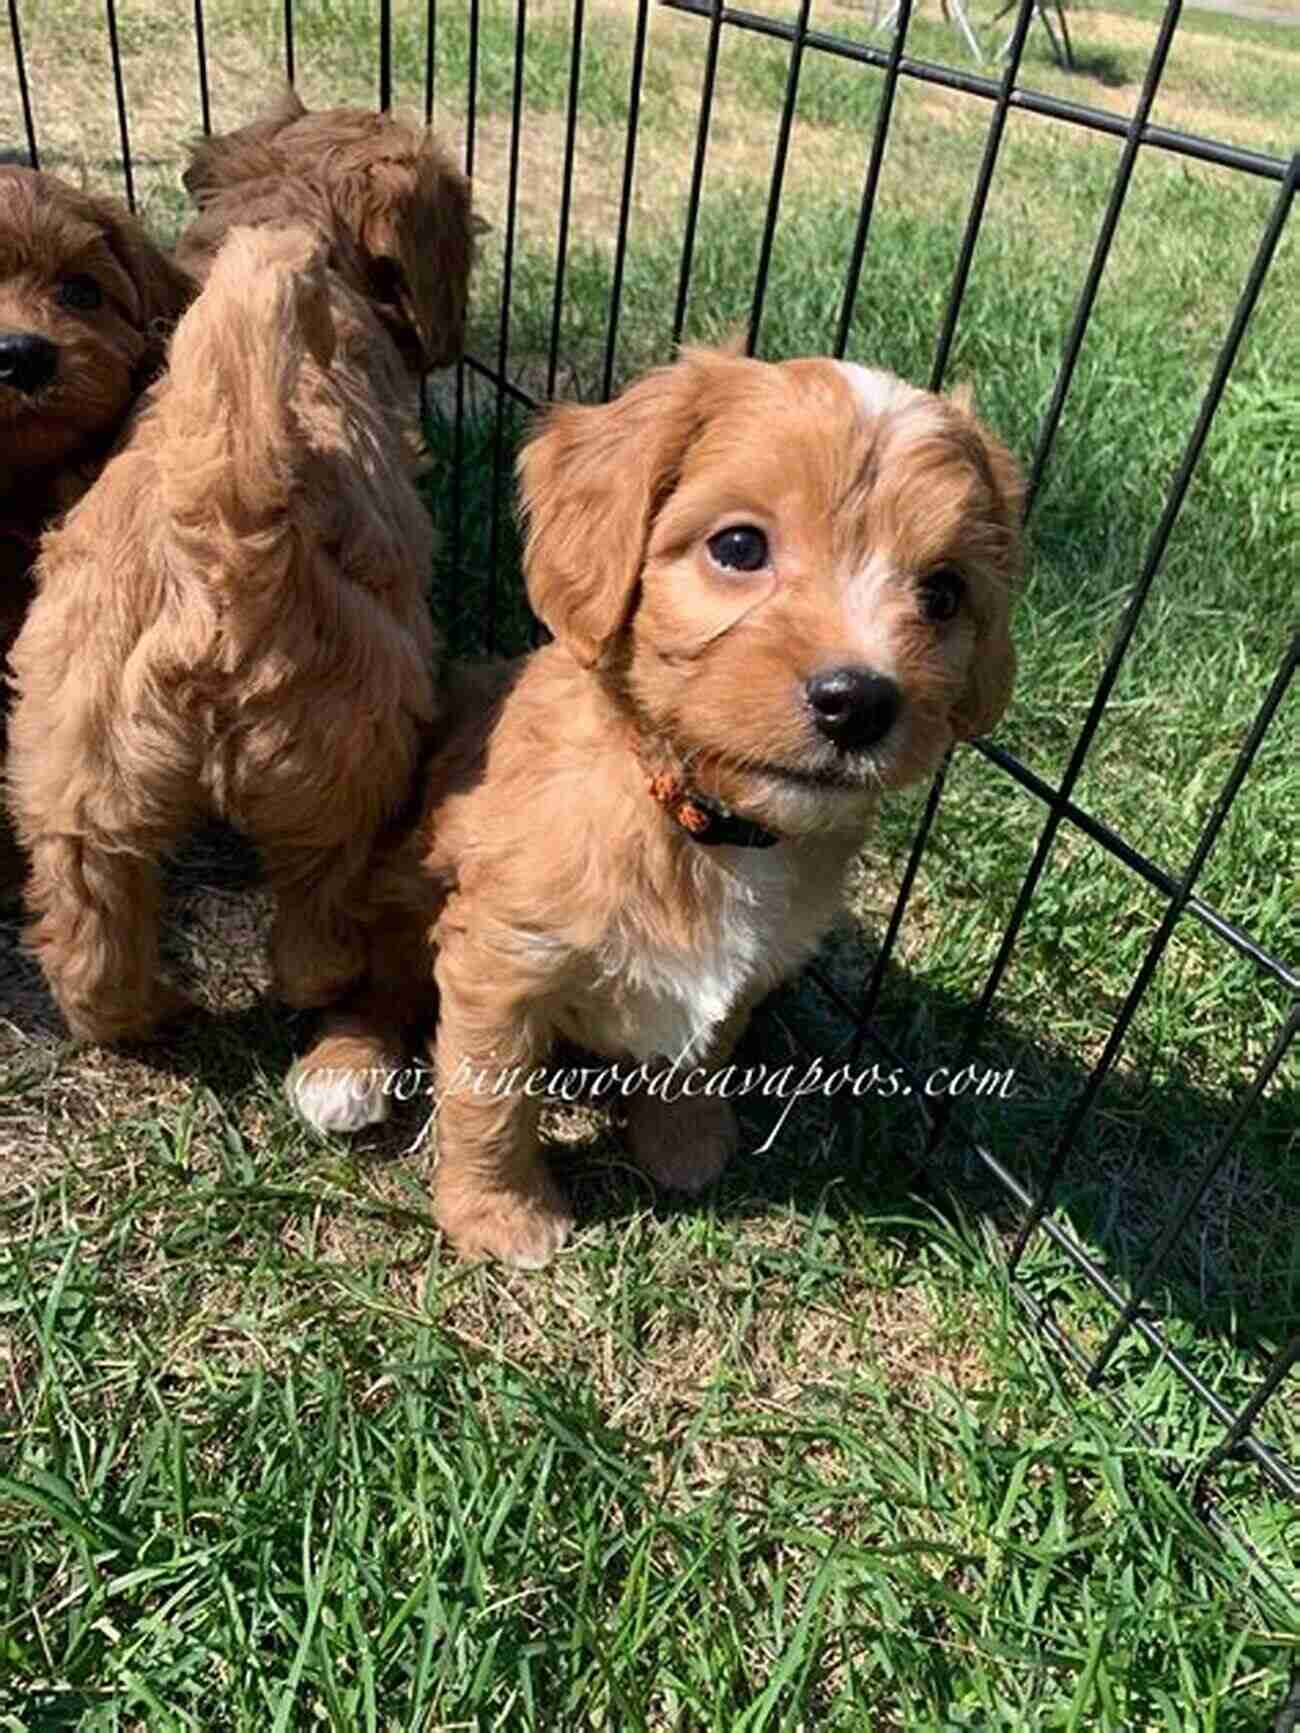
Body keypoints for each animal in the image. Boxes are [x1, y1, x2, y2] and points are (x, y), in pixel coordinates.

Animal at [287, 348, 1026, 1275]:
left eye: (944, 593)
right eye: (739, 546)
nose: (858, 701)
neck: (704, 824)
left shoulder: (754, 963)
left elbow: (704, 1048)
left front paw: (682, 1141)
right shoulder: (502, 957)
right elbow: (490, 1098)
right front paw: (499, 1213)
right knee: (374, 981)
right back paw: (343, 1068)